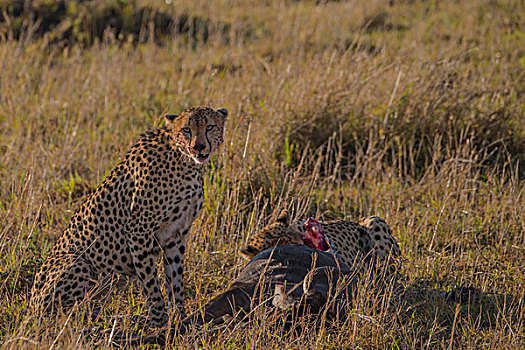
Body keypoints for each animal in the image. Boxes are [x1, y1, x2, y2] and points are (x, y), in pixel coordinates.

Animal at [30, 105, 227, 326]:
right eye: (186, 129)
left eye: (210, 127)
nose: (198, 147)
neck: (183, 159)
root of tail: (32, 307)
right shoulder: (138, 230)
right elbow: (150, 282)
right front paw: (159, 322)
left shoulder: (175, 234)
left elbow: (175, 280)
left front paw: (179, 319)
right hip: (78, 262)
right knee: (67, 316)